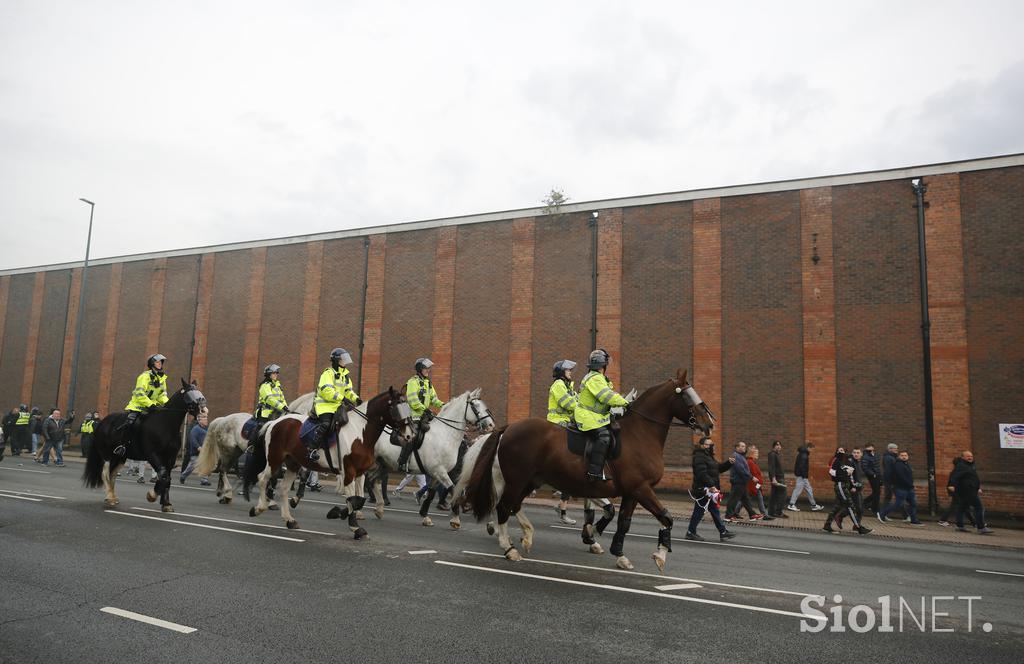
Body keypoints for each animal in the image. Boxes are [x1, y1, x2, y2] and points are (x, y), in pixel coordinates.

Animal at [83, 379, 207, 514]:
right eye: (190, 394)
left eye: (200, 393)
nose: (204, 411)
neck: (165, 425)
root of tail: (102, 423)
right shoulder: (152, 454)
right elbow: (163, 475)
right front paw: (152, 495)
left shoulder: (170, 458)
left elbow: (167, 478)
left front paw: (166, 503)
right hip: (107, 456)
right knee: (105, 473)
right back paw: (110, 497)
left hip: (120, 458)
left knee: (113, 474)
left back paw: (113, 497)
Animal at [247, 387, 411, 536]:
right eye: (397, 408)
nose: (410, 435)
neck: (360, 431)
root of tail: (275, 422)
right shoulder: (349, 471)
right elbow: (353, 500)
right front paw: (355, 528)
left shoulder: (359, 473)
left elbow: (359, 499)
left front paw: (339, 513)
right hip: (274, 459)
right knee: (263, 478)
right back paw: (259, 508)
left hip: (293, 463)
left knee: (284, 488)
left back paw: (289, 520)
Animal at [372, 389, 495, 524]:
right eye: (475, 406)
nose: (491, 425)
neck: (444, 434)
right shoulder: (439, 471)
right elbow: (453, 490)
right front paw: (456, 519)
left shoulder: (436, 473)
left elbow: (431, 493)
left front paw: (425, 516)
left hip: (382, 463)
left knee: (372, 481)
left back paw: (378, 508)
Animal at [452, 370, 716, 573]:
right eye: (687, 394)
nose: (709, 423)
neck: (639, 435)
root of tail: (509, 427)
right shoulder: (641, 488)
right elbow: (666, 516)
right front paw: (660, 554)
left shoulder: (632, 492)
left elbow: (623, 521)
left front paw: (614, 551)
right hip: (516, 479)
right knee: (503, 507)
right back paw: (508, 547)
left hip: (529, 481)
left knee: (512, 506)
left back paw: (525, 535)